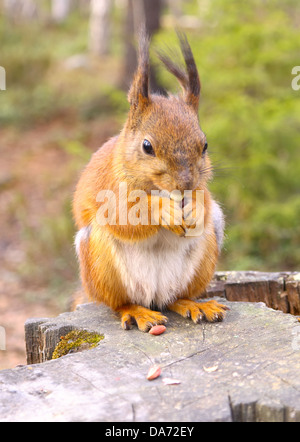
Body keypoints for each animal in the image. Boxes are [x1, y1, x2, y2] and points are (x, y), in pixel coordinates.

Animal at [73, 32, 227, 332]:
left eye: (204, 145)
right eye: (147, 146)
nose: (185, 184)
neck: (160, 190)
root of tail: (154, 296)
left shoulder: (202, 187)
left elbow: (205, 201)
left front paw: (195, 208)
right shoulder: (108, 189)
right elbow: (123, 215)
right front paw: (161, 210)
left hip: (204, 256)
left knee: (177, 297)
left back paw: (195, 304)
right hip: (100, 265)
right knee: (119, 303)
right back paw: (137, 312)